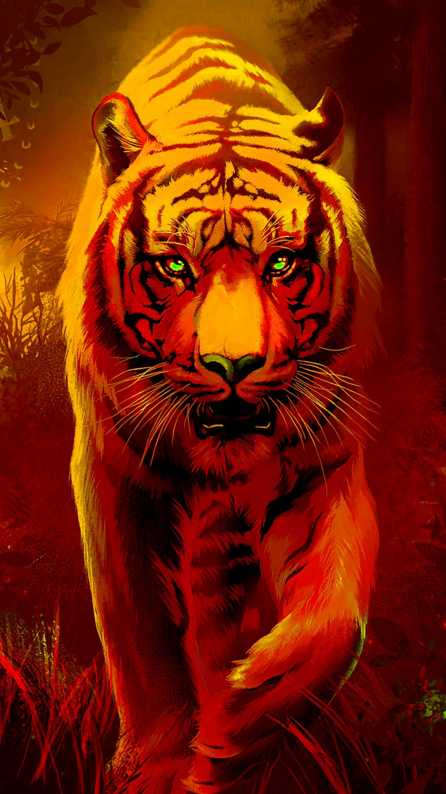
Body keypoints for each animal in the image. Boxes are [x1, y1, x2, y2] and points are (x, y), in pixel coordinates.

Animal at [58, 25, 381, 794]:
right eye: (175, 267)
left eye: (282, 264)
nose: (232, 366)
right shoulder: (114, 478)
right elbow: (141, 639)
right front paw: (156, 765)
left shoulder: (327, 466)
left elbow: (335, 620)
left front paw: (234, 723)